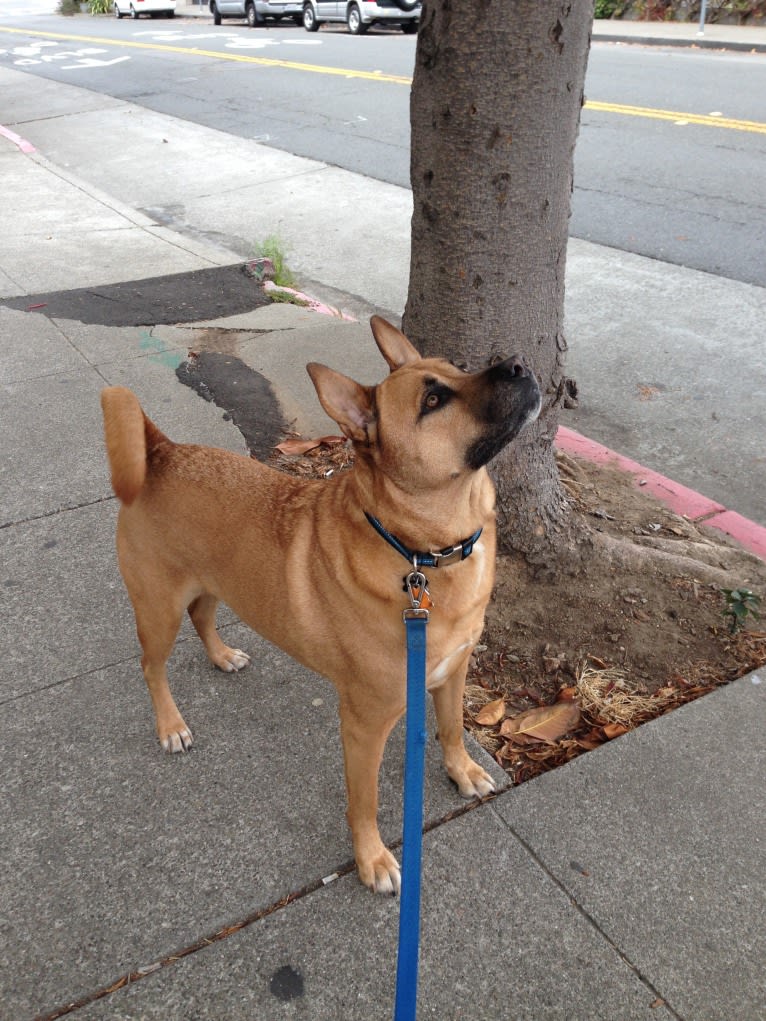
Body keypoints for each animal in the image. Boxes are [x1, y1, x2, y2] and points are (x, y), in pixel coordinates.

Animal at [102, 316, 543, 894]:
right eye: (433, 400)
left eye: (458, 368)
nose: (519, 364)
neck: (421, 553)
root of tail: (162, 451)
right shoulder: (364, 724)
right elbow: (365, 802)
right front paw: (371, 858)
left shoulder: (453, 672)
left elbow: (450, 728)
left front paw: (461, 769)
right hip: (158, 611)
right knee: (152, 667)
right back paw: (170, 725)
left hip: (214, 582)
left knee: (204, 616)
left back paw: (222, 656)